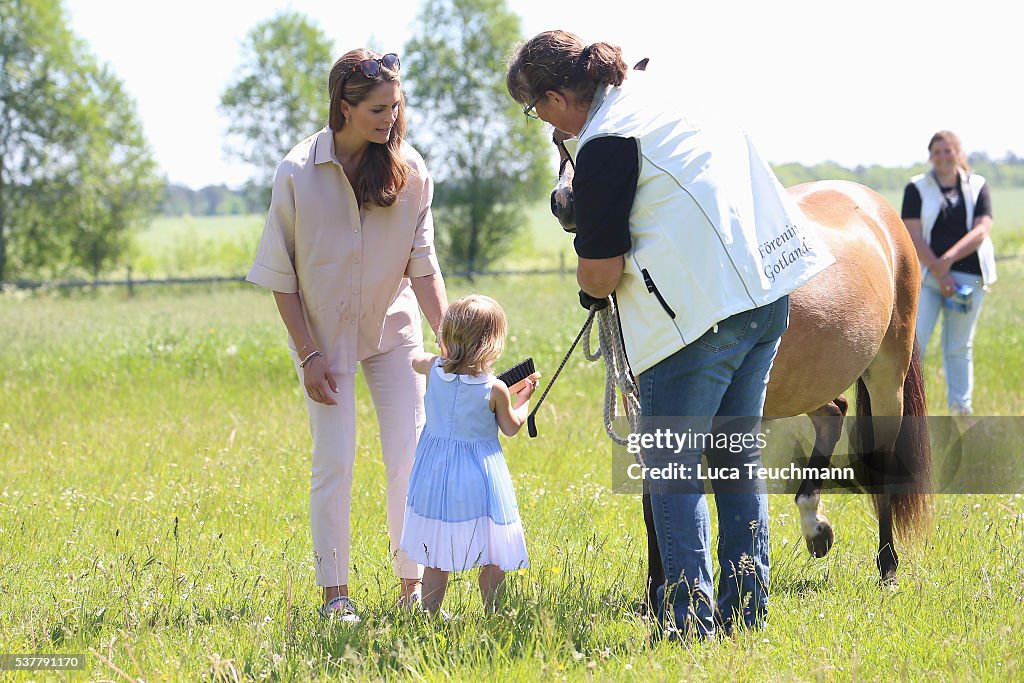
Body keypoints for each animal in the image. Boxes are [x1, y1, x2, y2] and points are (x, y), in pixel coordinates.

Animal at [557, 118, 933, 602]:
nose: (566, 203)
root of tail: (878, 210)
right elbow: (652, 504)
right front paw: (653, 597)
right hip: (809, 380)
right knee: (833, 413)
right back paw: (815, 528)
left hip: (887, 376)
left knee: (881, 463)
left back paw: (887, 567)